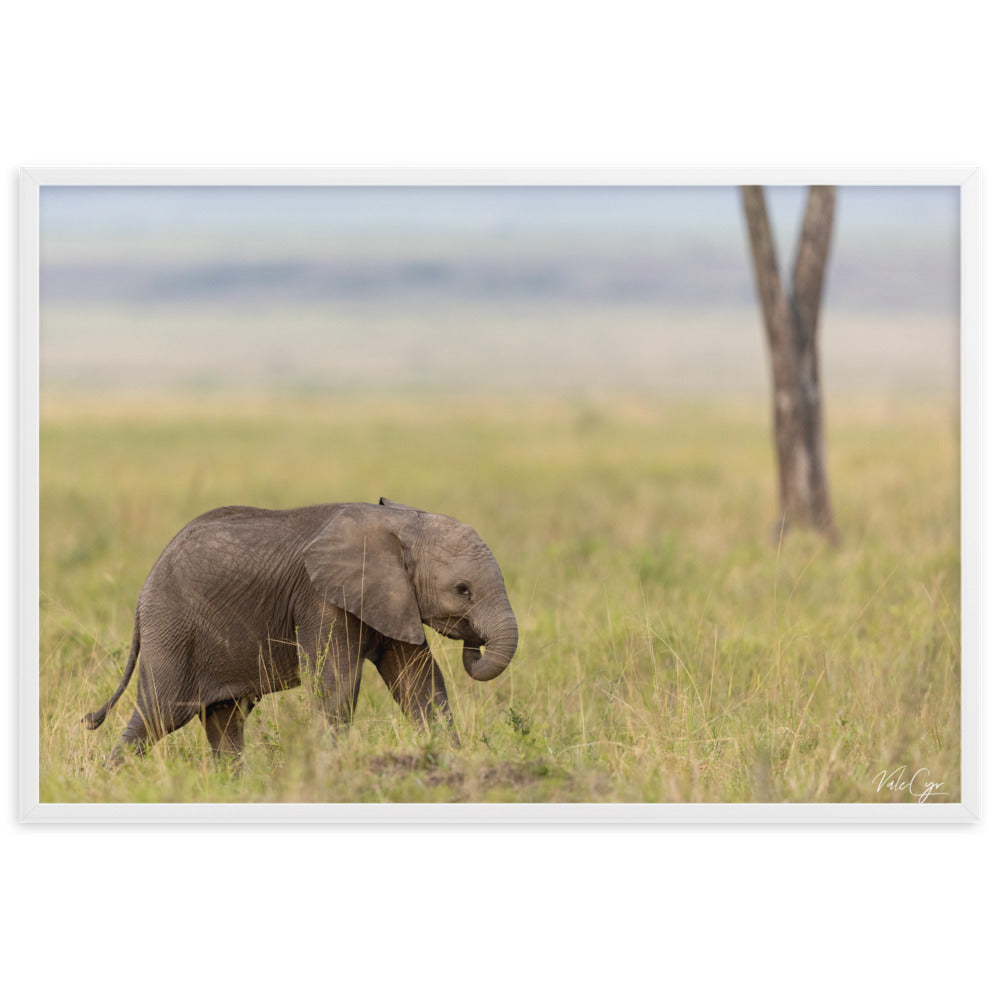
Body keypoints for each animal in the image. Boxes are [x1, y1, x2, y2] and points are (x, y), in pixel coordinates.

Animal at [83, 500, 520, 764]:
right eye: (462, 590)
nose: (475, 641)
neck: (399, 521)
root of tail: (144, 589)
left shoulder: (394, 597)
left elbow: (420, 683)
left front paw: (452, 758)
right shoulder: (320, 599)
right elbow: (336, 684)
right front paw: (333, 765)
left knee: (225, 719)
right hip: (172, 627)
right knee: (159, 713)